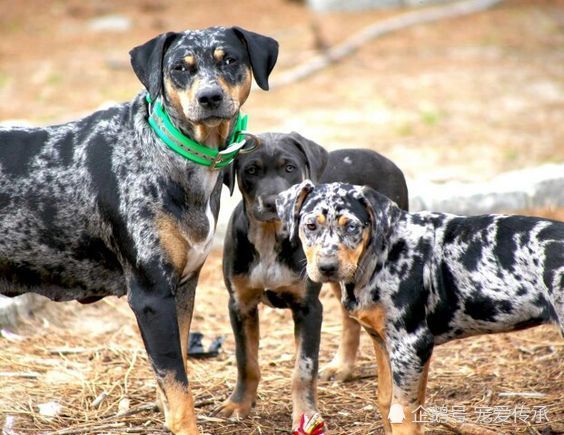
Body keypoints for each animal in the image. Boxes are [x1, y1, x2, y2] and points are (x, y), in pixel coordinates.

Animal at [0, 27, 278, 435]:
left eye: (229, 60)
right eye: (180, 67)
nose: (209, 97)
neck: (174, 153)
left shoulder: (183, 287)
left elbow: (174, 370)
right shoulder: (151, 294)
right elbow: (178, 387)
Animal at [218, 134, 408, 432]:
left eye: (289, 168)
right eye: (251, 170)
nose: (272, 202)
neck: (271, 236)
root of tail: (383, 159)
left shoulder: (308, 308)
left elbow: (303, 369)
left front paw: (305, 414)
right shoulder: (240, 304)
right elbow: (245, 360)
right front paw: (239, 404)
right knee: (349, 318)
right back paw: (342, 367)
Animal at [278, 181, 564, 435]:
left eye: (352, 227)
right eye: (310, 225)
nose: (327, 268)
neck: (381, 255)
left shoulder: (410, 344)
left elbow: (404, 416)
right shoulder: (384, 341)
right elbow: (387, 401)